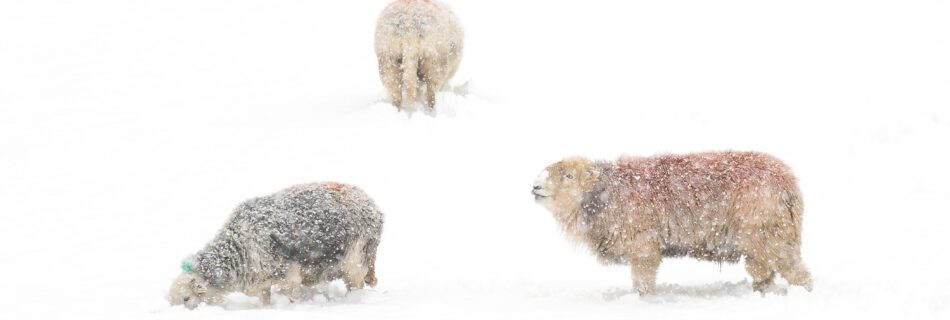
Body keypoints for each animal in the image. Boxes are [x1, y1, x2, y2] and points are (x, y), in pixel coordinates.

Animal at [169, 181, 384, 308]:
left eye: (186, 298)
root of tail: (373, 205)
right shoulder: (263, 277)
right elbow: (265, 297)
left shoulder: (290, 276)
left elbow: (291, 296)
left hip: (355, 261)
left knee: (356, 286)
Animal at [532, 151, 816, 296]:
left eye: (569, 176)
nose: (535, 186)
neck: (605, 194)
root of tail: (789, 183)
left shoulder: (642, 245)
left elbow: (643, 281)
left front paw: (642, 302)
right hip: (763, 239)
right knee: (764, 272)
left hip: (769, 233)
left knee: (797, 272)